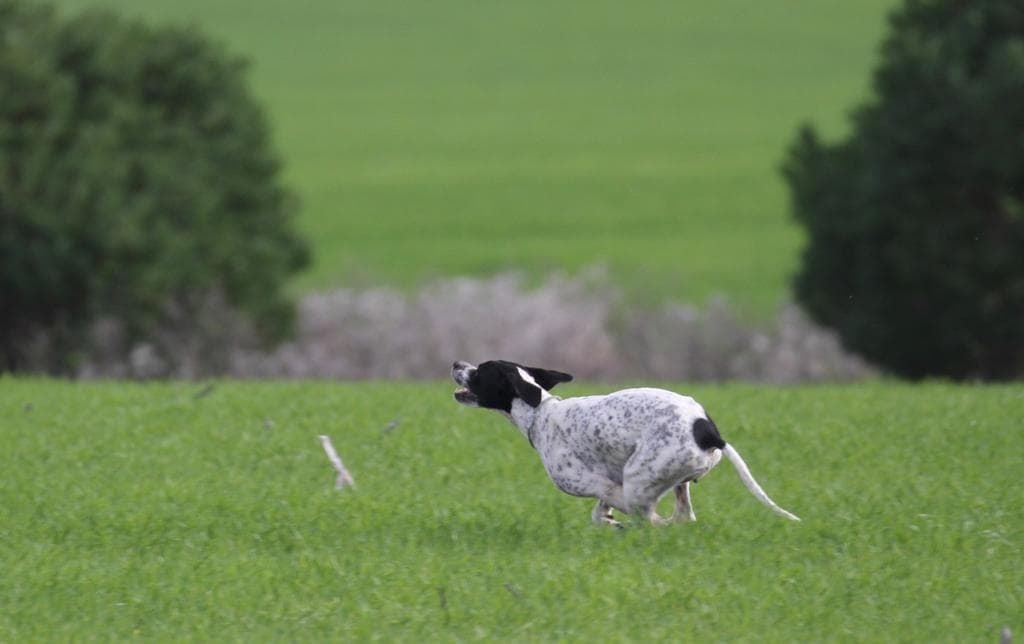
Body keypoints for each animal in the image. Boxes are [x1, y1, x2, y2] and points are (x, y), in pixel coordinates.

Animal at [450, 358, 798, 524]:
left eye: (480, 371)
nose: (457, 364)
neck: (541, 414)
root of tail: (707, 431)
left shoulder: (602, 484)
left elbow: (614, 508)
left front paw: (614, 522)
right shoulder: (610, 481)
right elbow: (599, 514)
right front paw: (608, 520)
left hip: (639, 477)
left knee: (655, 518)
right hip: (676, 480)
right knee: (683, 515)